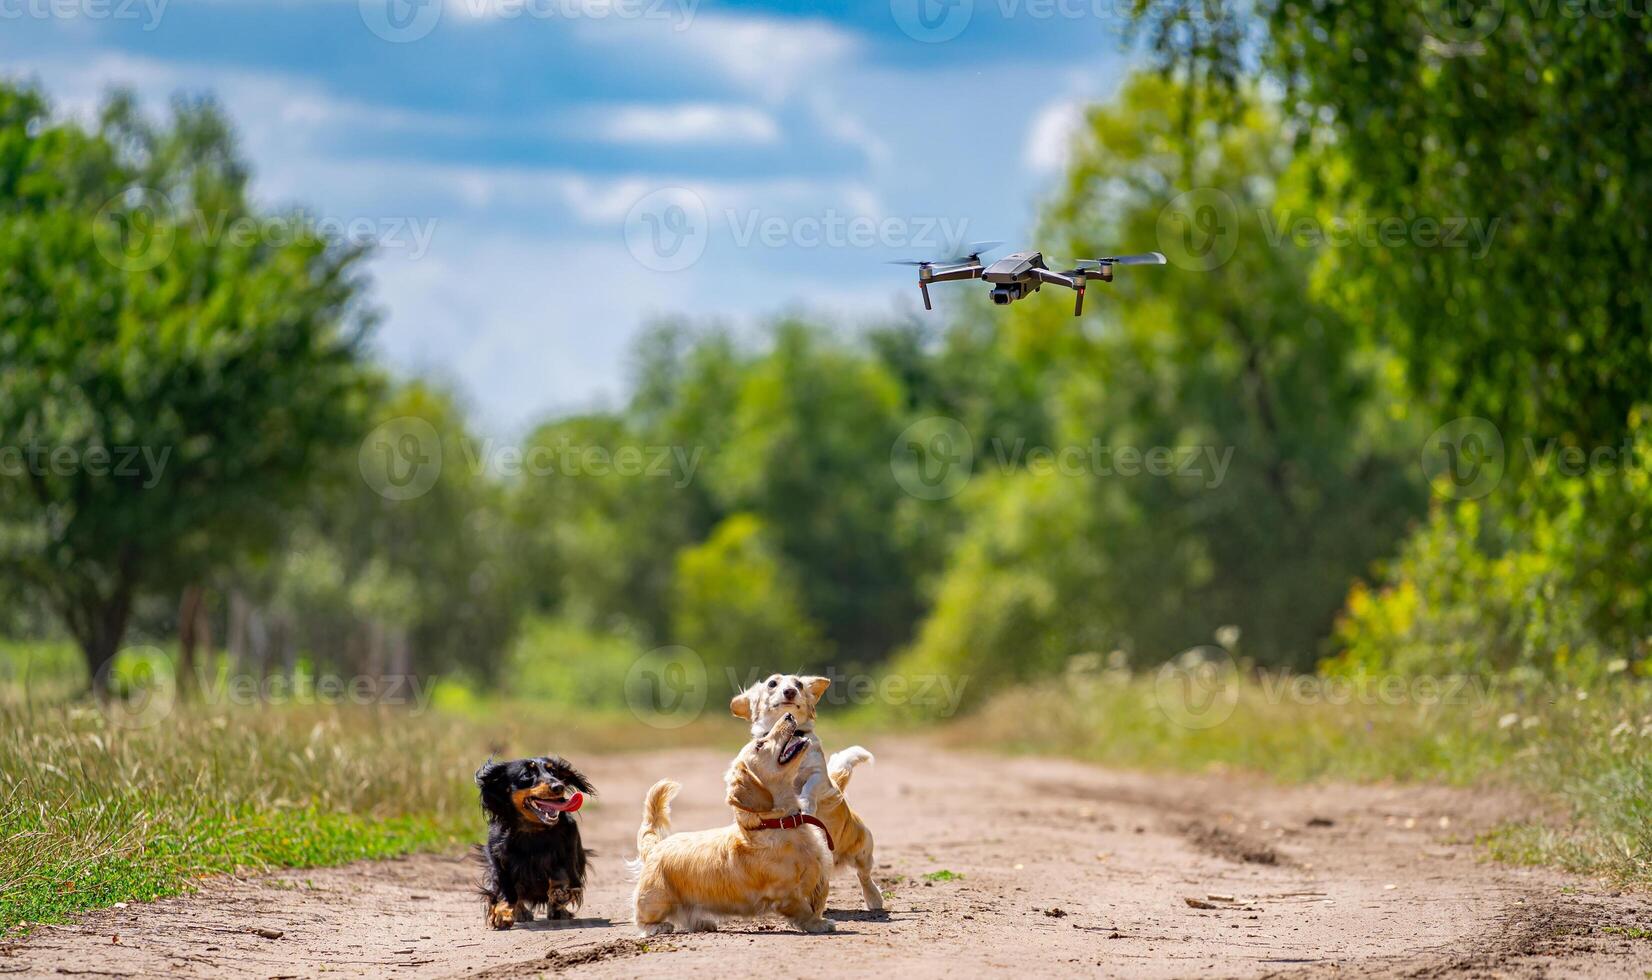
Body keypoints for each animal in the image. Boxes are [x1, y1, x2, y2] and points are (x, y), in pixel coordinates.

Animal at [631, 710, 839, 932]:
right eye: (760, 744)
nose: (789, 715)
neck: (778, 823)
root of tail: (656, 847)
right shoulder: (785, 893)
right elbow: (804, 909)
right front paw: (818, 924)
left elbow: (818, 901)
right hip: (656, 899)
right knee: (641, 919)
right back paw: (657, 927)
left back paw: (702, 922)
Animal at [723, 674, 878, 912]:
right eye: (772, 683)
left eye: (798, 684)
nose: (790, 691)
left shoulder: (819, 775)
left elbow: (808, 788)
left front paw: (805, 805)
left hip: (862, 848)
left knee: (864, 874)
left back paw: (874, 899)